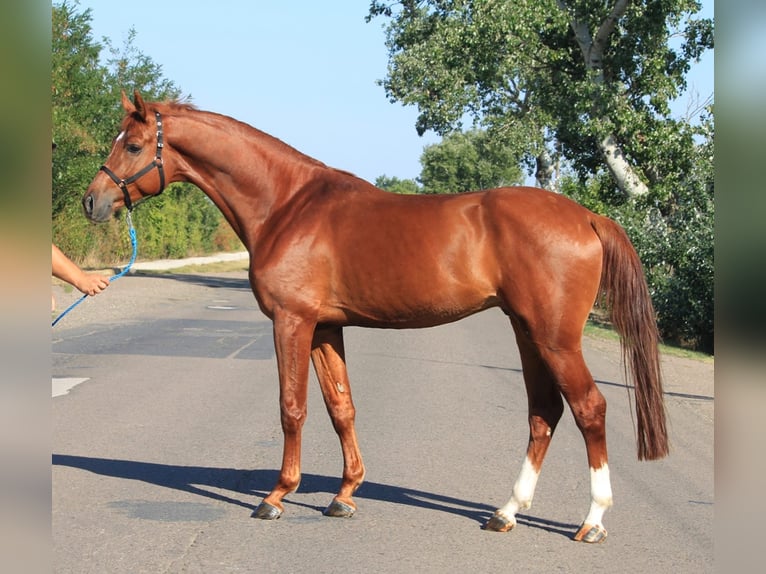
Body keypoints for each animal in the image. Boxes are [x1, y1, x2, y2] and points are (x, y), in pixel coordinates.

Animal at [84, 91, 668, 544]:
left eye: (132, 145)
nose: (93, 201)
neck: (287, 205)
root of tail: (587, 216)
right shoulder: (325, 328)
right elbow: (341, 408)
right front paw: (344, 495)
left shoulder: (291, 321)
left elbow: (292, 408)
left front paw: (277, 495)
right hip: (528, 333)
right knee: (544, 412)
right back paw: (505, 513)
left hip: (555, 338)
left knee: (590, 408)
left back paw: (592, 522)